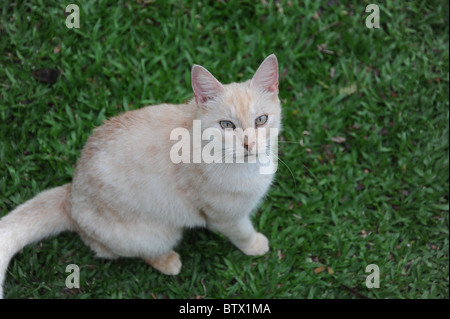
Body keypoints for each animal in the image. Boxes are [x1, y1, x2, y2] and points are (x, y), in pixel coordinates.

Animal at [0, 54, 282, 298]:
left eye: (261, 120)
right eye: (226, 125)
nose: (248, 145)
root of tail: (70, 195)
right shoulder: (225, 218)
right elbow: (243, 232)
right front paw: (255, 245)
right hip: (158, 234)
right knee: (129, 252)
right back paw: (168, 261)